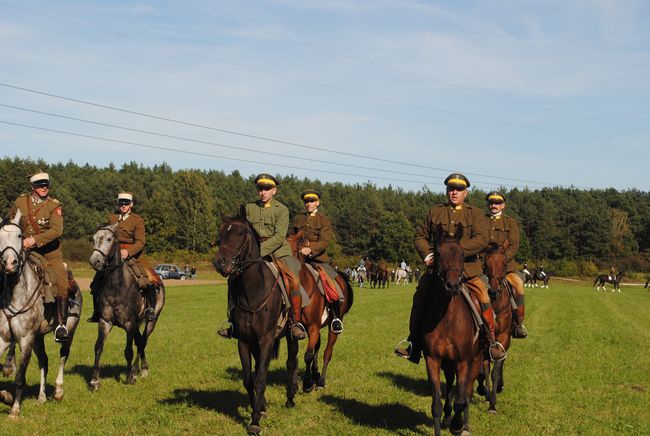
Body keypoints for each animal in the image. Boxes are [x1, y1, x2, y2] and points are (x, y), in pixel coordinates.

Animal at [88, 225, 165, 388]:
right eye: (94, 238)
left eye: (109, 239)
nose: (95, 261)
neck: (116, 286)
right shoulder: (105, 321)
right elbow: (98, 347)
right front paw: (94, 380)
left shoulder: (130, 323)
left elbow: (128, 351)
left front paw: (129, 377)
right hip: (137, 324)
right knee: (140, 341)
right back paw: (141, 368)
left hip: (152, 320)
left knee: (143, 342)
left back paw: (138, 370)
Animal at [214, 209, 300, 434]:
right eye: (221, 233)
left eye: (240, 233)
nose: (220, 262)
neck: (253, 291)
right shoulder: (244, 341)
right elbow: (248, 379)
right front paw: (259, 409)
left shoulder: (266, 340)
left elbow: (261, 379)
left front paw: (254, 422)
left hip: (291, 337)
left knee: (292, 363)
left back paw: (291, 398)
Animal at [284, 233, 352, 394]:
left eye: (294, 250)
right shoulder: (293, 331)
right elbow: (294, 358)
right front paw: (295, 385)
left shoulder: (313, 328)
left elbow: (308, 355)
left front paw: (307, 384)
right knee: (318, 346)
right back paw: (315, 374)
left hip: (333, 327)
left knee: (327, 351)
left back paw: (320, 381)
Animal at [420, 225, 480, 436]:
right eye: (438, 253)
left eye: (462, 254)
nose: (453, 285)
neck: (446, 320)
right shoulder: (433, 360)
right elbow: (436, 404)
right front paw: (446, 419)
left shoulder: (463, 362)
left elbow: (461, 401)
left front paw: (457, 424)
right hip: (447, 363)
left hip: (475, 361)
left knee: (467, 393)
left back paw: (465, 424)